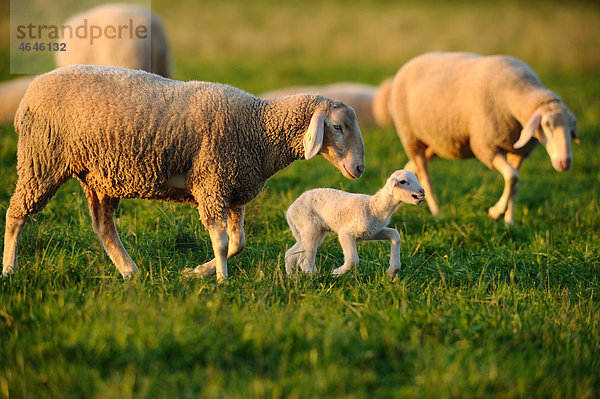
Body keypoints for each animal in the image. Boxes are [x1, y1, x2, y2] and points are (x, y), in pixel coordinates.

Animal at [2, 65, 366, 284]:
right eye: (337, 127)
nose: (360, 168)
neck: (258, 127)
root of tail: (33, 87)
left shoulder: (232, 192)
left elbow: (238, 243)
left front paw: (196, 272)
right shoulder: (212, 183)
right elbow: (221, 241)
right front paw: (221, 280)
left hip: (98, 177)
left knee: (103, 227)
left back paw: (130, 272)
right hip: (41, 161)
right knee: (15, 216)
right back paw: (8, 269)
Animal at [284, 170, 424, 280]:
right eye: (403, 182)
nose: (422, 191)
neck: (374, 207)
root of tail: (290, 210)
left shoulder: (372, 231)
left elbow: (395, 235)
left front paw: (391, 272)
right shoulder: (346, 233)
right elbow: (353, 261)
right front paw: (335, 273)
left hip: (312, 231)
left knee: (291, 253)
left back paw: (292, 277)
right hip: (309, 226)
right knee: (305, 257)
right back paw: (315, 278)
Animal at [386, 51, 580, 223]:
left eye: (572, 128)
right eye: (547, 125)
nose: (565, 163)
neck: (516, 93)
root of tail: (412, 61)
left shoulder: (518, 152)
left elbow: (515, 182)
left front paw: (509, 221)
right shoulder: (486, 147)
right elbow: (511, 176)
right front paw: (495, 212)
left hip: (436, 141)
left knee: (411, 168)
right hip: (411, 137)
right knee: (426, 178)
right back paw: (437, 213)